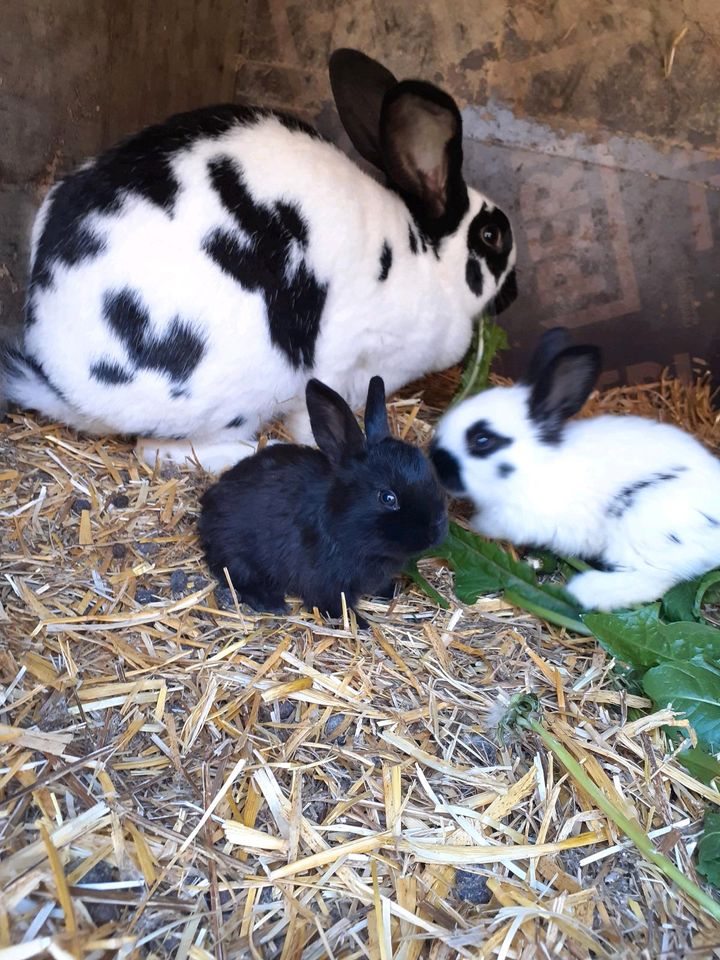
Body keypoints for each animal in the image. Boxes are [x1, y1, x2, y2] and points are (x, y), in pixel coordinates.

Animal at [200, 372, 448, 620]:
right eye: (387, 498)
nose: (435, 533)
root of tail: (206, 506)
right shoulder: (324, 582)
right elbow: (334, 606)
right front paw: (361, 623)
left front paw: (390, 589)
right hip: (237, 553)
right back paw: (272, 602)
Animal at [430, 330, 720, 608]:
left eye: (482, 440)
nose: (435, 462)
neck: (532, 464)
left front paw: (474, 524)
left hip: (641, 525)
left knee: (654, 580)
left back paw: (584, 590)